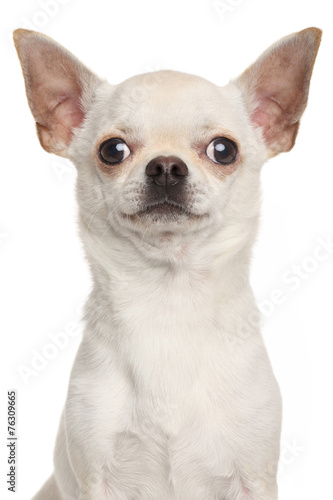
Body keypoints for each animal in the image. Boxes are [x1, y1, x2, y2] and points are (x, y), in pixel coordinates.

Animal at [14, 28, 320, 500]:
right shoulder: (97, 475)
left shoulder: (253, 475)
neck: (169, 298)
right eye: (113, 150)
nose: (166, 166)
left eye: (223, 150)